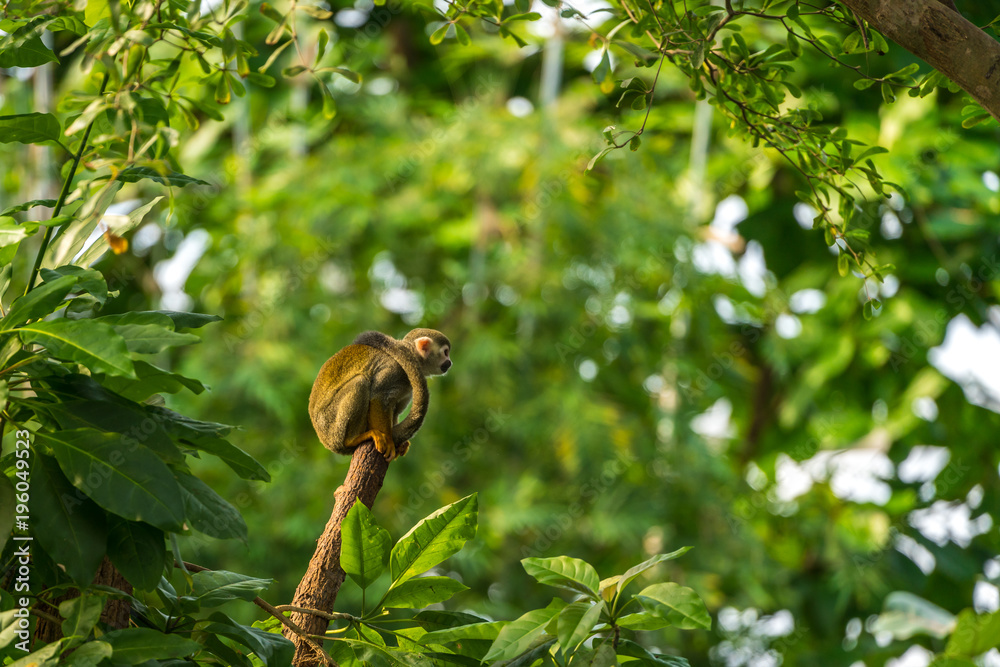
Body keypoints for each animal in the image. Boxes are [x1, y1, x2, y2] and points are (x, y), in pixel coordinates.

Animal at [310, 328, 452, 462]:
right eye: (446, 352)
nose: (450, 362)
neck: (413, 356)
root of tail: (327, 442)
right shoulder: (395, 369)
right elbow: (379, 397)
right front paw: (389, 440)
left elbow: (395, 411)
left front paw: (399, 444)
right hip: (332, 425)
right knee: (360, 382)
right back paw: (353, 439)